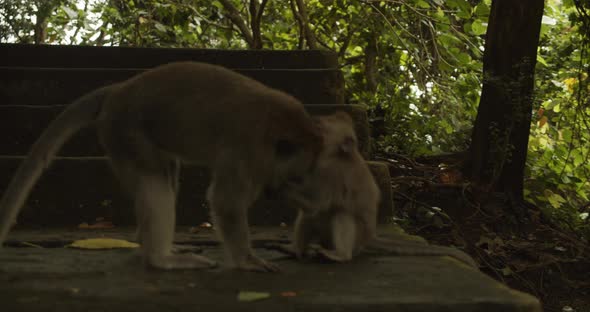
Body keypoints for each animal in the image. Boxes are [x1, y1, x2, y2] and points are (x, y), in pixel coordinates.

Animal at [0, 61, 324, 270]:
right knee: (155, 181)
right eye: (295, 177)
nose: (273, 191)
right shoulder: (246, 149)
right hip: (125, 131)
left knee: (167, 174)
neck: (276, 126)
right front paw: (247, 260)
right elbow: (226, 202)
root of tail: (119, 89)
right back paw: (160, 260)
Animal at [280, 112, 478, 268]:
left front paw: (284, 187)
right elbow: (311, 205)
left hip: (358, 238)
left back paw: (340, 255)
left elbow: (318, 204)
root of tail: (370, 236)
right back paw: (295, 250)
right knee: (308, 216)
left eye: (321, 127)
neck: (332, 154)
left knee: (341, 213)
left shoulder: (331, 172)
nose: (311, 125)